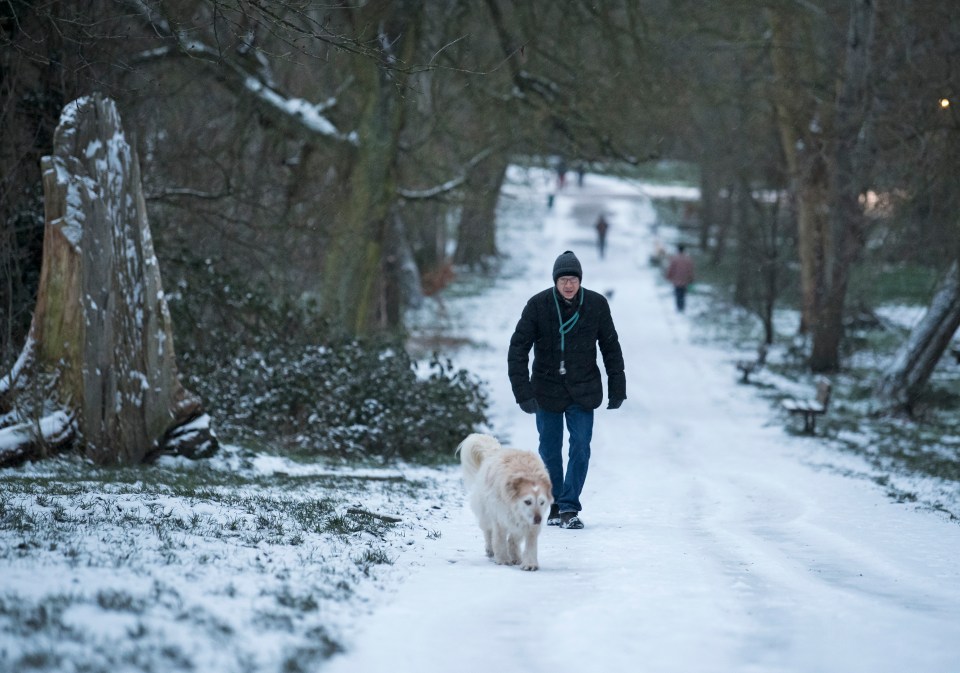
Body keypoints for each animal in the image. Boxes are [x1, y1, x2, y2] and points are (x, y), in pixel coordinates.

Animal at [460, 434, 556, 568]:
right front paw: (503, 559)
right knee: (488, 532)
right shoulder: (500, 517)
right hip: (486, 513)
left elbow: (527, 543)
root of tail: (494, 452)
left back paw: (515, 556)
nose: (538, 519)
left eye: (542, 502)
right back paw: (490, 549)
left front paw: (529, 563)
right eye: (527, 501)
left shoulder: (527, 524)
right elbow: (500, 539)